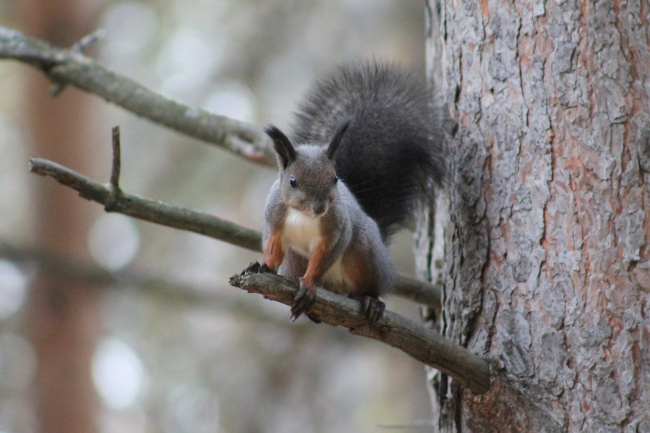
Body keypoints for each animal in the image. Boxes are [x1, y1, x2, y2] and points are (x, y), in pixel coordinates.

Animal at [258, 61, 446, 324]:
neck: (303, 214)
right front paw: (266, 267)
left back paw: (371, 302)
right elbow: (273, 245)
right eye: (293, 181)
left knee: (368, 287)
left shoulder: (337, 229)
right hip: (295, 260)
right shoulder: (274, 219)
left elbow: (326, 254)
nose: (320, 207)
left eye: (335, 178)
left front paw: (309, 283)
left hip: (366, 256)